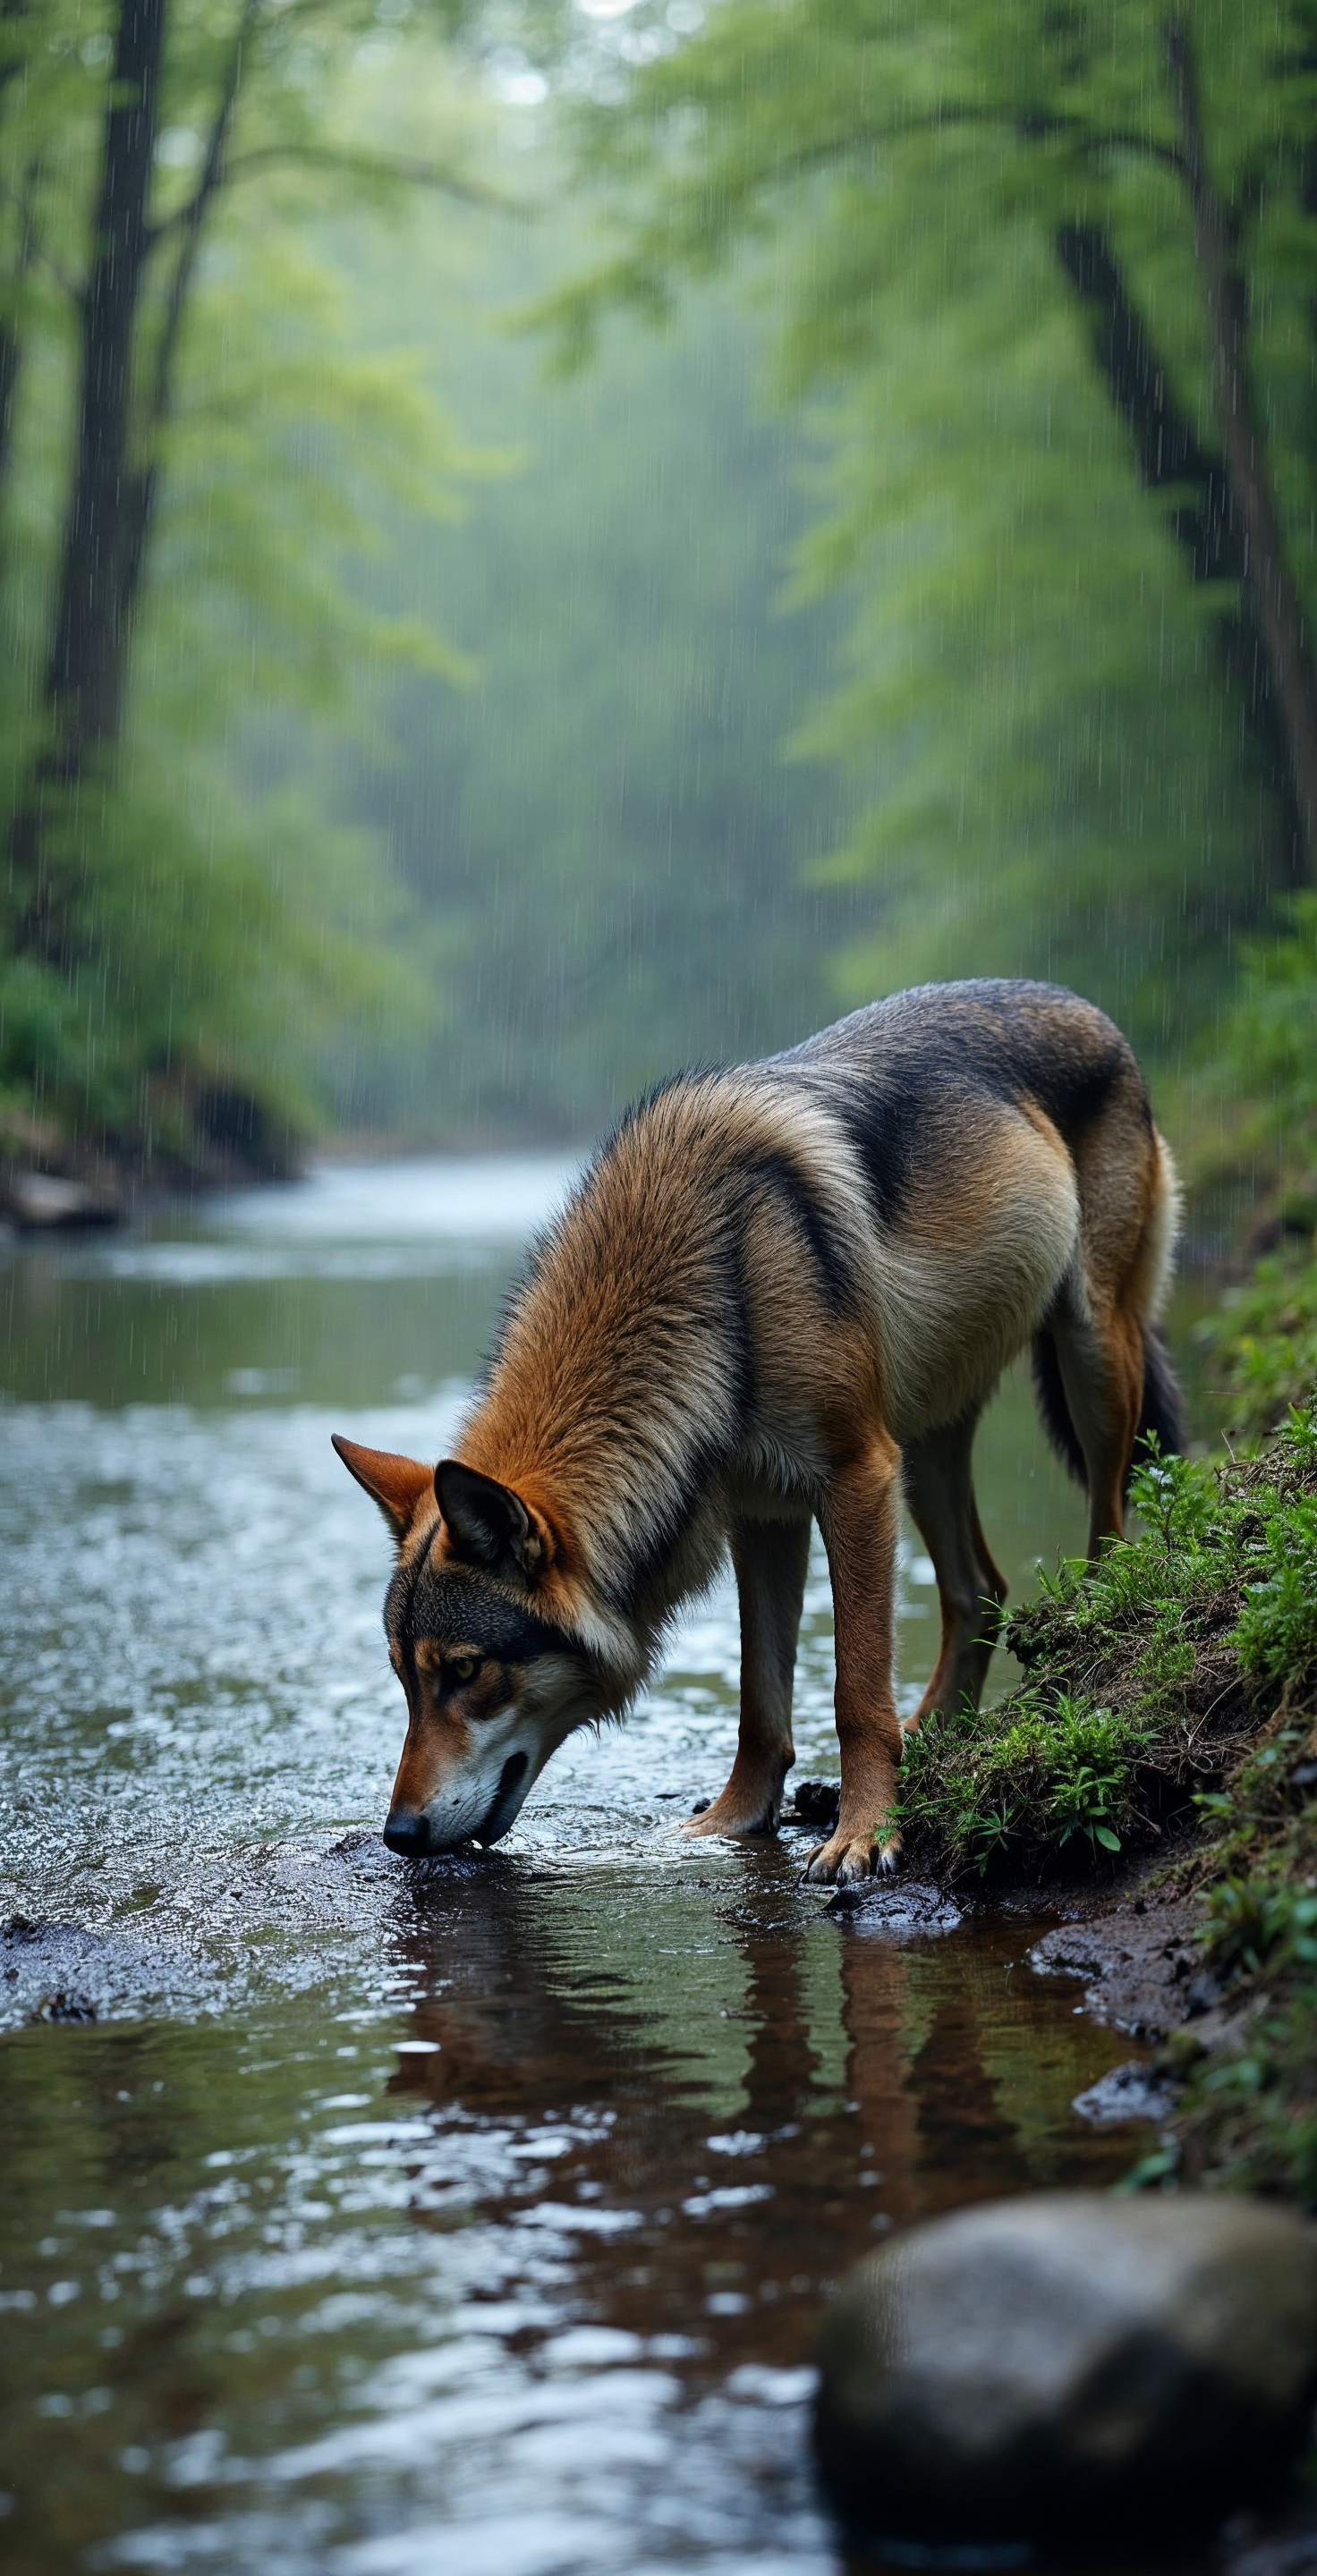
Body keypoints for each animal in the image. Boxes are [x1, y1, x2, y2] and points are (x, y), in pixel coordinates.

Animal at [334, 980, 1182, 1884]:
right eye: (404, 1681)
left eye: (466, 1672)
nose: (399, 1834)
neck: (710, 1288)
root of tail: (1082, 1005)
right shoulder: (762, 1513)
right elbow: (759, 1699)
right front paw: (731, 1824)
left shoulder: (854, 1478)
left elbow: (853, 1690)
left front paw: (865, 1831)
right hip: (927, 1442)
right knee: (976, 1589)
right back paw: (929, 1742)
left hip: (1088, 1361)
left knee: (1107, 1531)